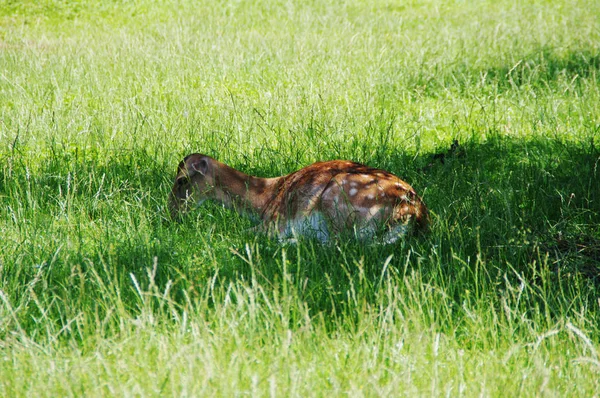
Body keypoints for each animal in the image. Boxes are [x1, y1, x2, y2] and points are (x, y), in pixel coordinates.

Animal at [169, 154, 428, 244]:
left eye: (182, 180)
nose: (171, 213)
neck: (264, 199)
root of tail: (411, 213)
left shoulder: (275, 223)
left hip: (337, 197)